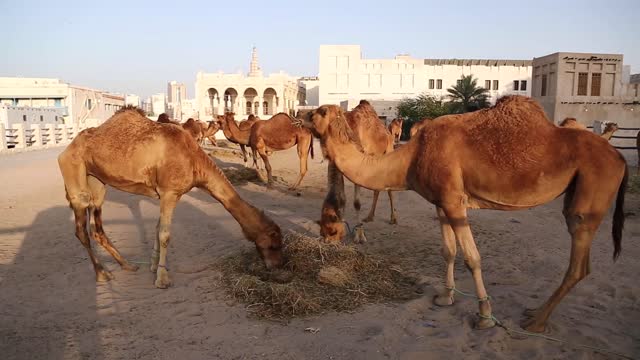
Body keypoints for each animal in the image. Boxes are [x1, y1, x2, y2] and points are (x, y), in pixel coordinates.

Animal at [57, 105, 282, 288]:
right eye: (274, 244)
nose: (277, 266)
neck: (194, 160)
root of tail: (66, 150)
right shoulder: (169, 193)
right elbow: (165, 235)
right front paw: (162, 278)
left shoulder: (169, 194)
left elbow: (158, 229)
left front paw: (153, 266)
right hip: (74, 172)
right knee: (81, 228)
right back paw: (102, 273)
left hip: (97, 180)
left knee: (97, 226)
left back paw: (127, 265)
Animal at [318, 100, 398, 243]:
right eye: (322, 232)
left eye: (333, 231)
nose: (330, 242)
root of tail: (387, 131)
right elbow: (343, 197)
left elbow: (357, 203)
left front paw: (359, 235)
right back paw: (370, 216)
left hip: (389, 150)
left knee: (389, 189)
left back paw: (393, 218)